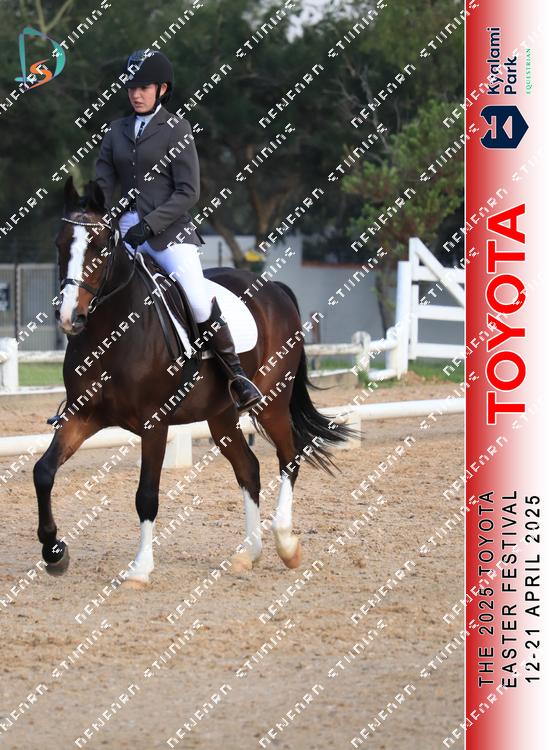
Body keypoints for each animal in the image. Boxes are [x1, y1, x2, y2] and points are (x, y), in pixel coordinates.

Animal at [33, 176, 352, 586]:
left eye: (100, 247)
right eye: (59, 243)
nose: (69, 317)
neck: (112, 331)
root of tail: (272, 287)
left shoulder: (154, 424)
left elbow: (146, 495)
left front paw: (140, 568)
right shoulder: (82, 415)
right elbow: (43, 472)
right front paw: (54, 551)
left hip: (271, 403)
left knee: (289, 457)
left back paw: (286, 544)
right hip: (221, 415)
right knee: (249, 468)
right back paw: (249, 554)